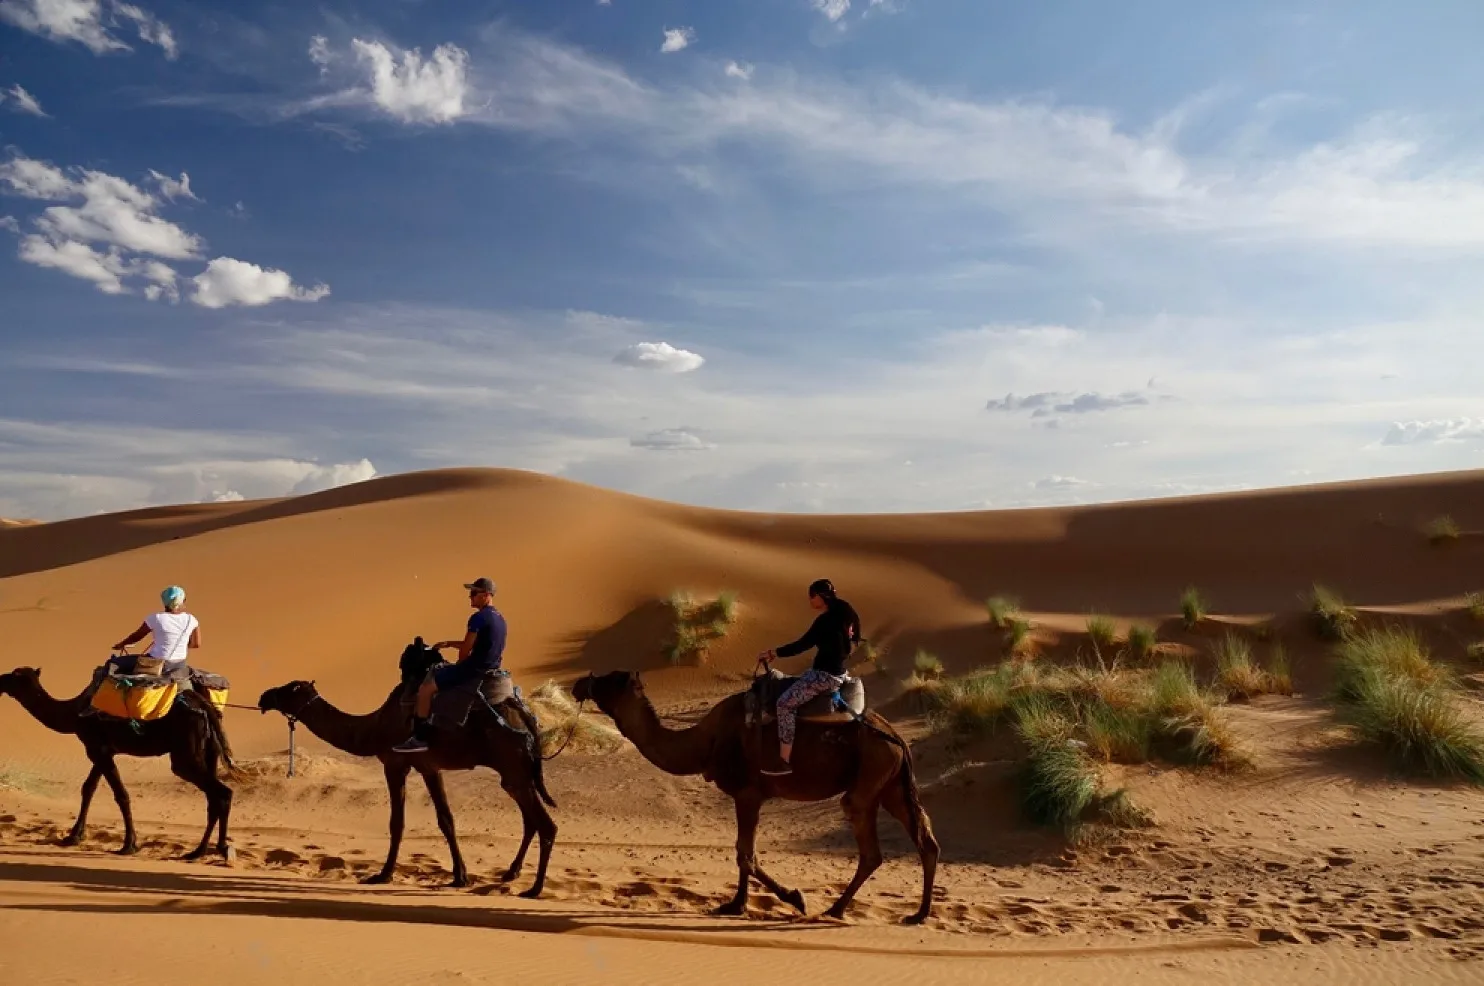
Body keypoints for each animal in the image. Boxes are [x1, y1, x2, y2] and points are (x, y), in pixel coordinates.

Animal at [0, 665, 235, 861]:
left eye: (14, 675)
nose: (1, 678)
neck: (74, 713)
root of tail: (204, 705)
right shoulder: (102, 750)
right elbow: (89, 788)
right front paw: (73, 836)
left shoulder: (97, 749)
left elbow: (121, 795)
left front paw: (128, 845)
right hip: (210, 750)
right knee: (214, 798)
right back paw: (205, 850)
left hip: (185, 756)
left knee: (221, 792)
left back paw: (212, 850)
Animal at [255, 644, 557, 896]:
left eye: (289, 689)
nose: (264, 696)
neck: (374, 727)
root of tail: (527, 717)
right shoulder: (428, 767)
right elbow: (446, 819)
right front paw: (460, 876)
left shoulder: (397, 763)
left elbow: (398, 822)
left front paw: (384, 875)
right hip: (515, 773)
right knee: (530, 819)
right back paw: (510, 873)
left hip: (512, 764)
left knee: (546, 825)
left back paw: (534, 889)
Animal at [569, 671, 937, 926]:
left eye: (609, 680)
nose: (579, 684)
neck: (704, 741)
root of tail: (897, 737)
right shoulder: (747, 796)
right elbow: (742, 853)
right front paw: (736, 905)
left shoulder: (748, 793)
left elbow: (745, 855)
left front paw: (794, 898)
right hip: (890, 784)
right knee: (923, 841)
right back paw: (916, 915)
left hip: (871, 775)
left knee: (870, 845)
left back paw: (836, 909)